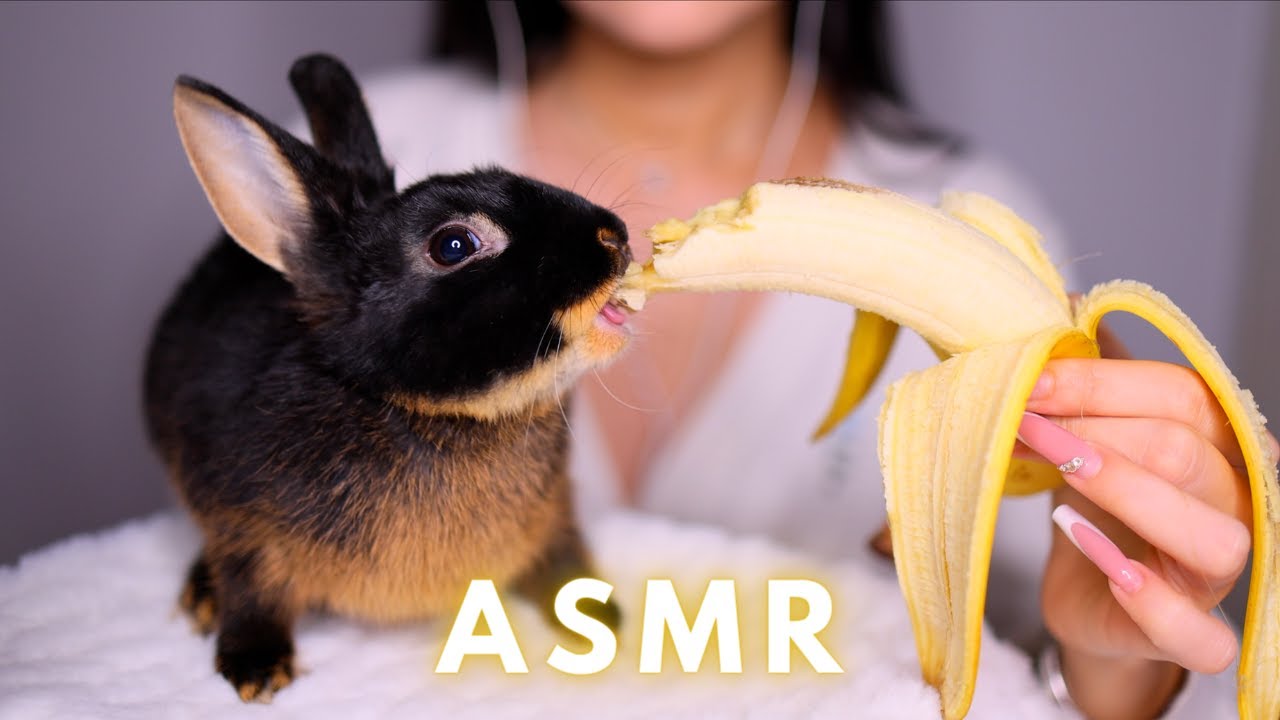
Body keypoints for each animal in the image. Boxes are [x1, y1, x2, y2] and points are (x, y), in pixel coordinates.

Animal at [144, 54, 631, 702]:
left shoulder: (555, 511)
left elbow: (563, 559)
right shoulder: (245, 529)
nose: (615, 235)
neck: (422, 409)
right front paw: (257, 672)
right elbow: (252, 591)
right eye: (455, 244)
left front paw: (602, 618)